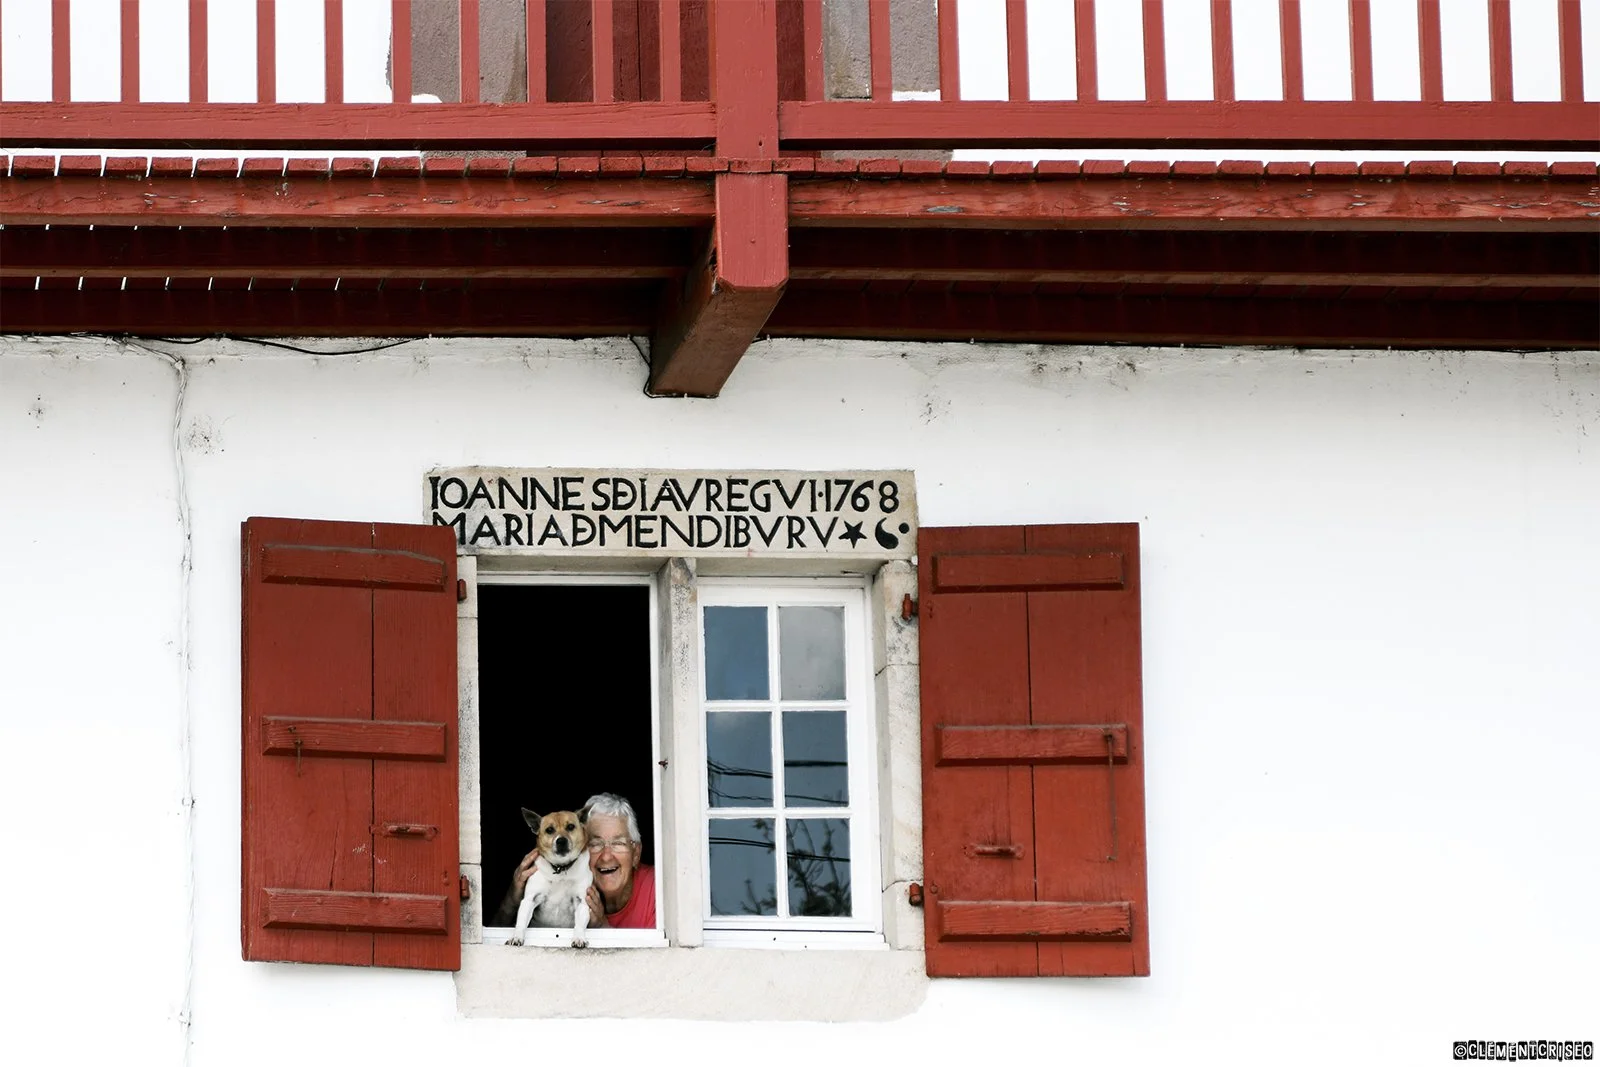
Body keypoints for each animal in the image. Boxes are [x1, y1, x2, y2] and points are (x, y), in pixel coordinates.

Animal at [507, 806, 593, 948]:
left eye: (570, 827)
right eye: (549, 830)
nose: (561, 841)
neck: (560, 868)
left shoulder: (581, 902)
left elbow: (580, 925)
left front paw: (579, 938)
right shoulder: (530, 899)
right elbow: (521, 922)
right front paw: (516, 937)